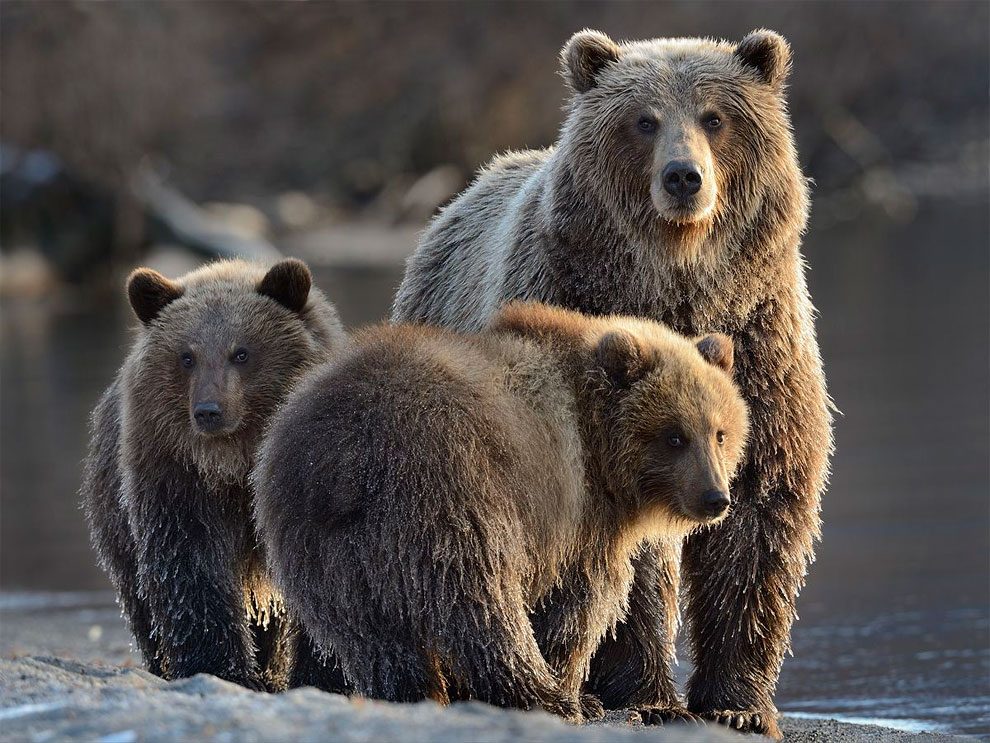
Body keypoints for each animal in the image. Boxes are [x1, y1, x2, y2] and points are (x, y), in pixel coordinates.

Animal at [392, 27, 832, 740]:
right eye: (644, 121)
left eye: (716, 116)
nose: (684, 177)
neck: (675, 284)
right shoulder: (571, 306)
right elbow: (625, 547)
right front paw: (648, 694)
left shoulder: (761, 339)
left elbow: (760, 505)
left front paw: (738, 702)